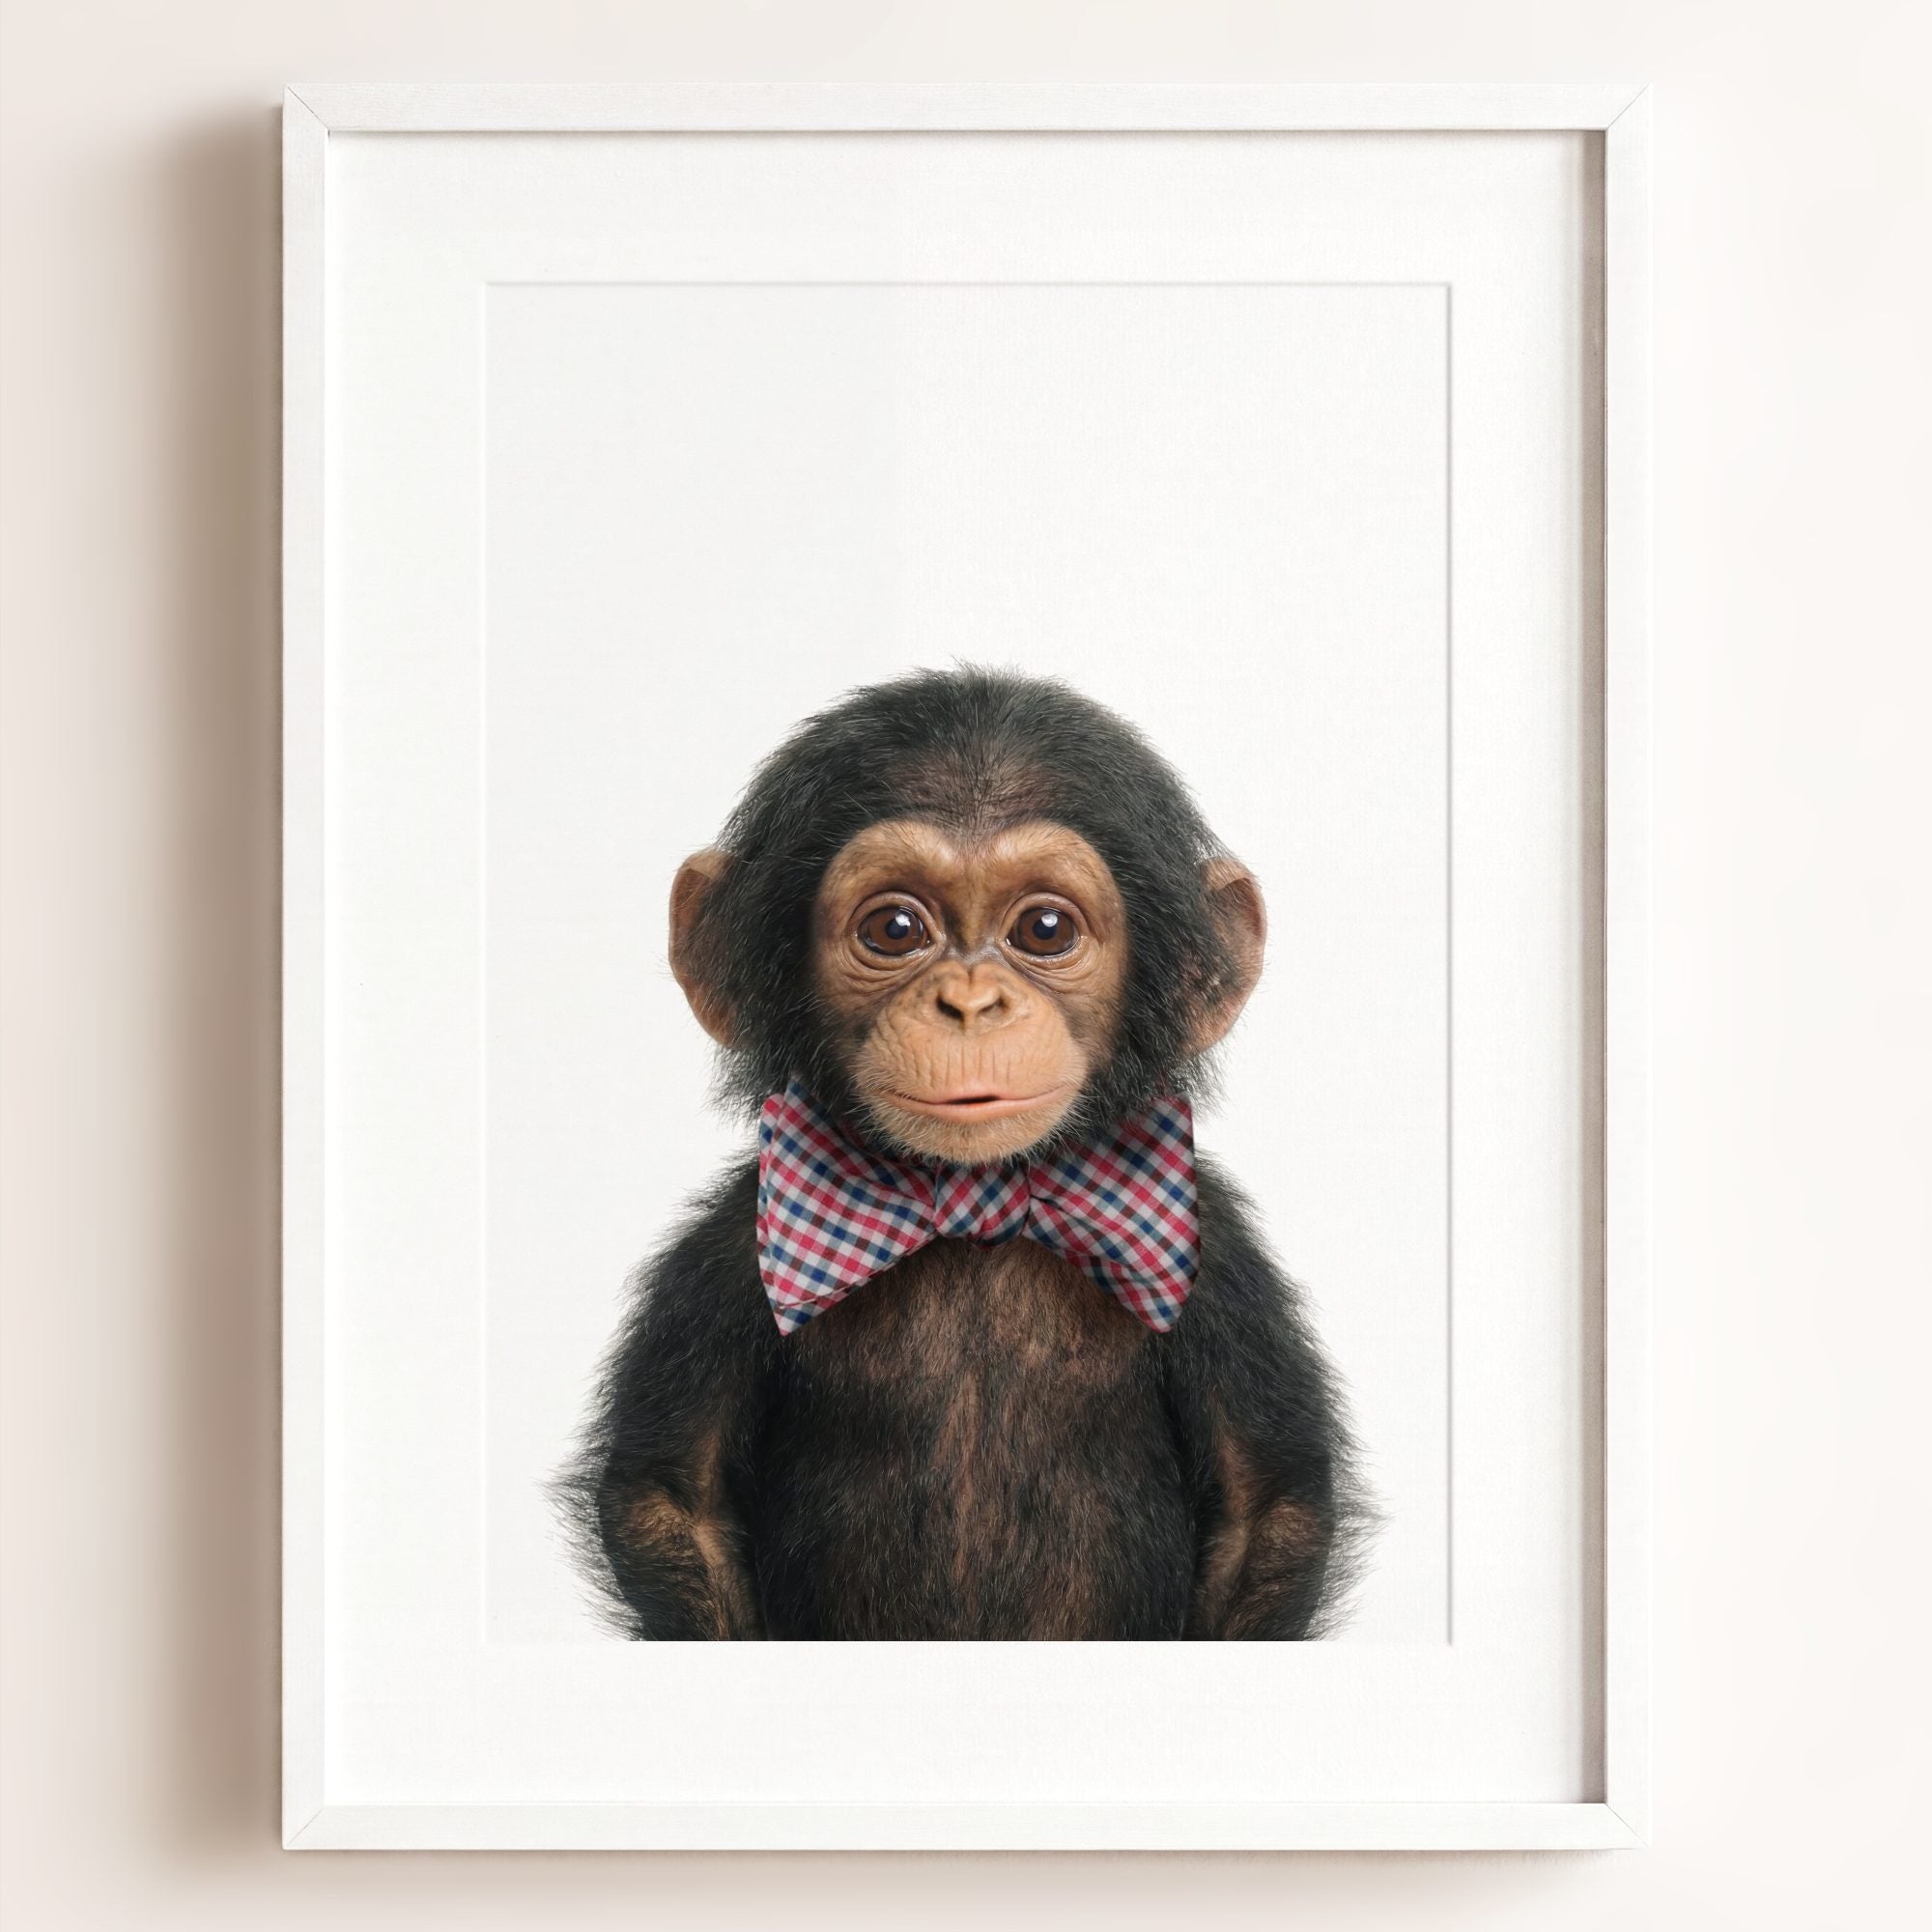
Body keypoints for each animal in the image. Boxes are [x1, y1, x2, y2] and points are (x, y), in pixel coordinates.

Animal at [563, 667, 1365, 1640]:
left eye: (1046, 929)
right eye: (896, 929)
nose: (972, 1003)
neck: (975, 1204)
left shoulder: (1219, 1267)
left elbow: (1266, 1510)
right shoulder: (723, 1257)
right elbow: (673, 1500)